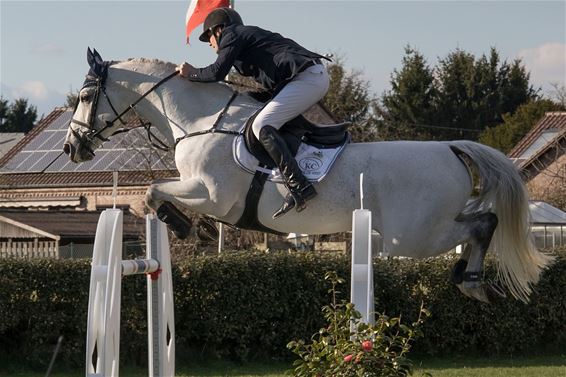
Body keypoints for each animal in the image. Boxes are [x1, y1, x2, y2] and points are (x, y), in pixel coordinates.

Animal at [63, 49, 556, 302]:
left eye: (85, 96)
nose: (71, 148)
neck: (202, 120)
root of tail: (451, 148)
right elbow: (153, 192)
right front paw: (182, 226)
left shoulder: (213, 195)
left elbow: (152, 191)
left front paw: (180, 225)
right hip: (418, 231)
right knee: (479, 226)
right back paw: (472, 282)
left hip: (412, 236)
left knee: (483, 224)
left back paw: (472, 282)